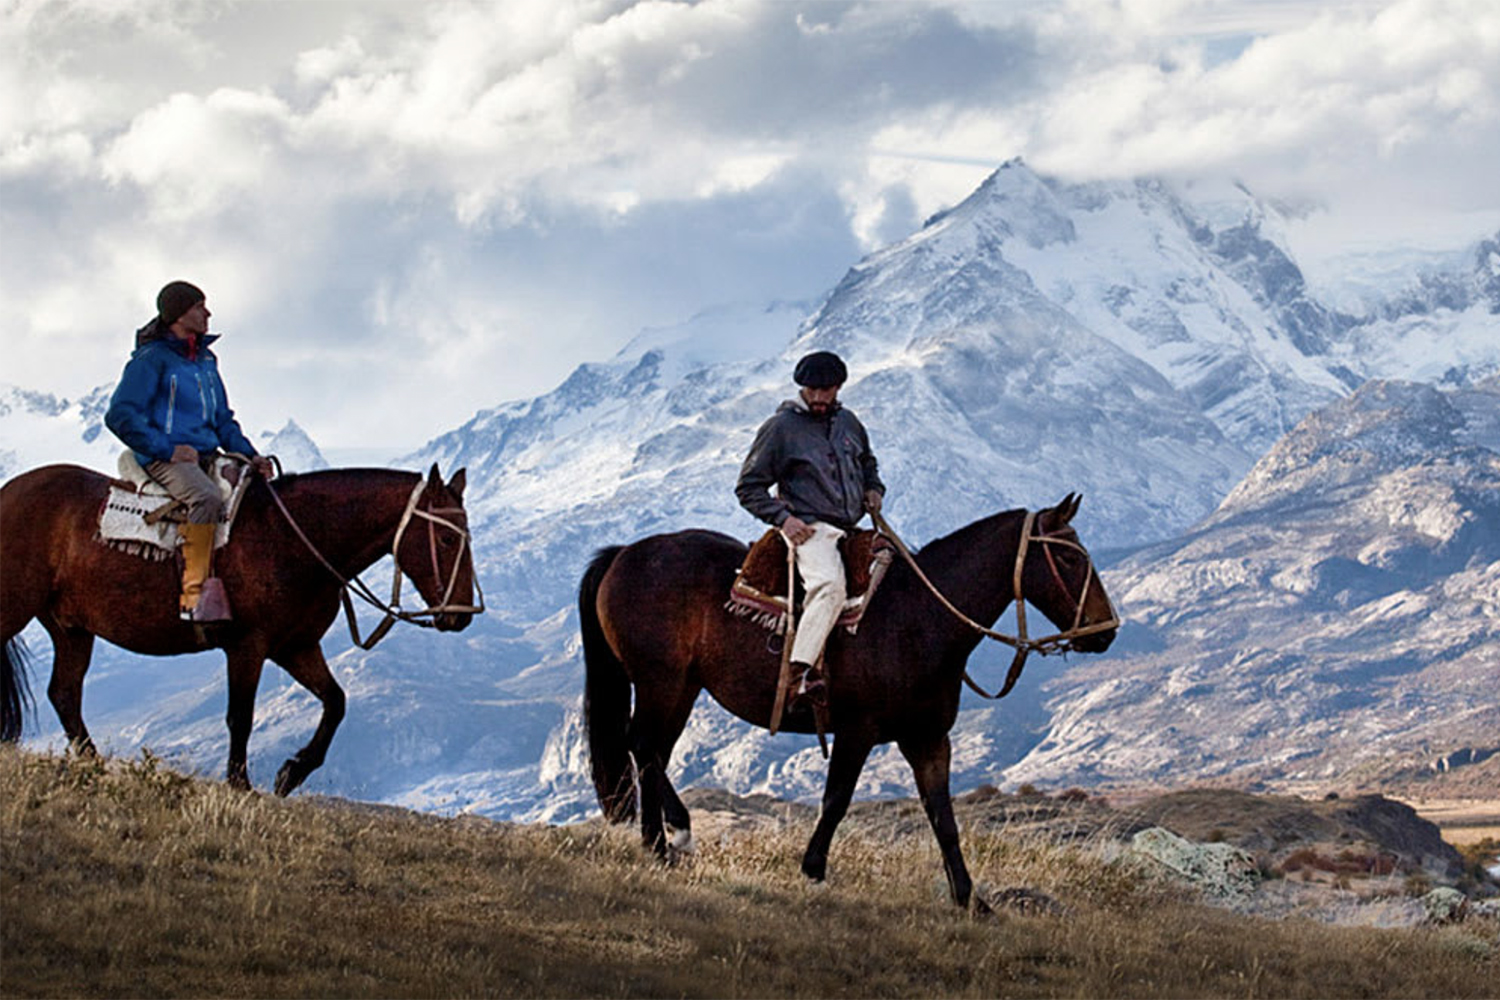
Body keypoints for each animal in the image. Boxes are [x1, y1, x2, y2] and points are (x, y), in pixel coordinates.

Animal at [1, 464, 480, 797]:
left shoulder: (296, 647)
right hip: (16, 608)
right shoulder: (247, 646)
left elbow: (336, 702)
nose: (462, 615)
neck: (293, 539)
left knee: (64, 694)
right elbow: (241, 717)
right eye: (447, 540)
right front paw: (240, 784)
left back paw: (94, 764)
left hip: (71, 629)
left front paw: (291, 773)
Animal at [579, 497, 1122, 911]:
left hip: (682, 687)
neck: (918, 619)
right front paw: (813, 869)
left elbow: (942, 817)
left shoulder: (928, 738)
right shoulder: (857, 730)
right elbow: (837, 799)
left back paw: (666, 837)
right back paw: (665, 840)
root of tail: (624, 554)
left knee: (653, 751)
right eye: (1069, 559)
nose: (1106, 631)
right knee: (643, 745)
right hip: (662, 682)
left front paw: (971, 900)